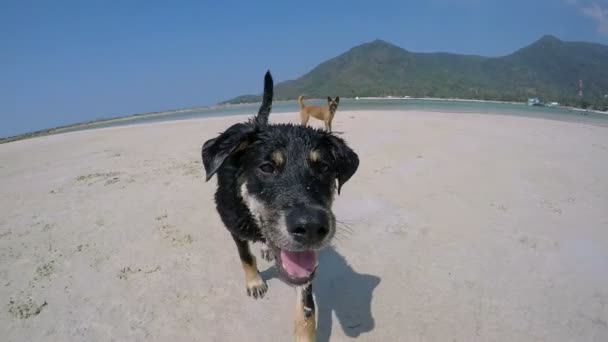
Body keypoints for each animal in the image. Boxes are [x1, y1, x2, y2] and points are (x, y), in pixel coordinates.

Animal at [202, 71, 358, 340]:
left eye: (324, 167)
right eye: (266, 167)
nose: (312, 227)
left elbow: (306, 311)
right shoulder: (233, 224)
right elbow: (245, 256)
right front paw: (254, 282)